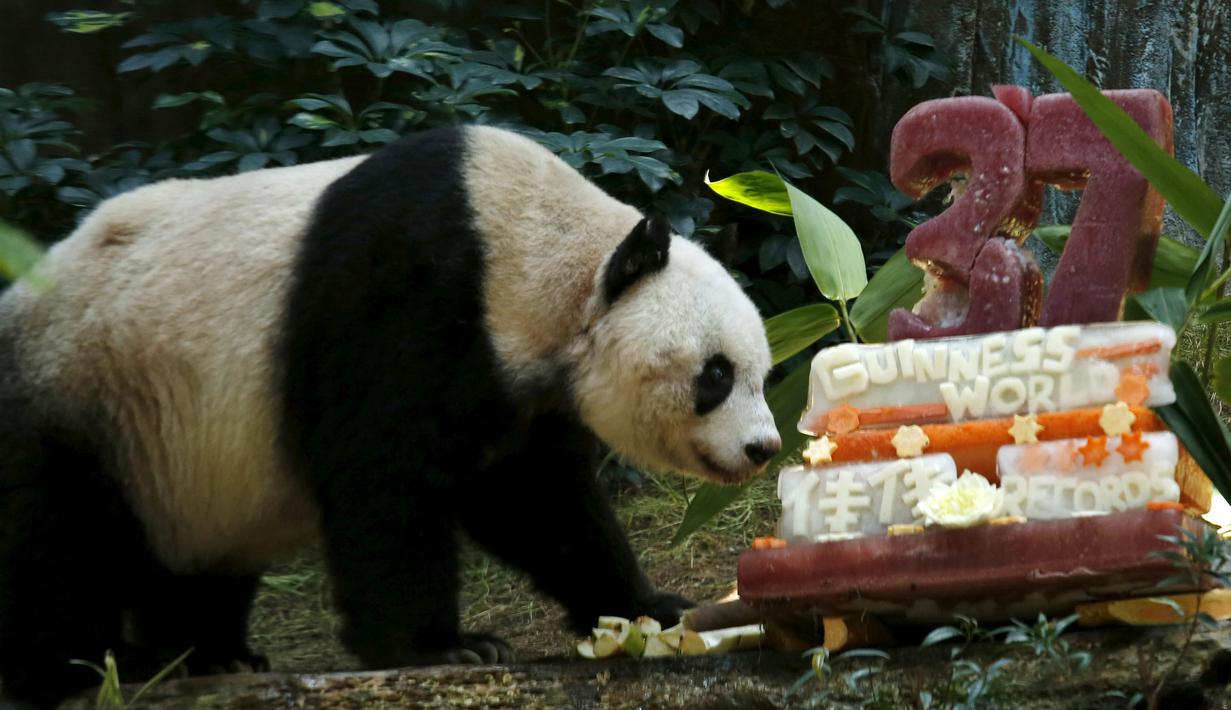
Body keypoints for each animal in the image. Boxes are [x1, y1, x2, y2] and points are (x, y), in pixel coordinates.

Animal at [0, 125, 780, 706]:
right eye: (716, 374)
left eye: (761, 371)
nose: (762, 449)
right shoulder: (404, 293)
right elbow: (383, 477)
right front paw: (443, 647)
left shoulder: (517, 383)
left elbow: (537, 502)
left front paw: (651, 608)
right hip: (89, 389)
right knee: (58, 536)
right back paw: (94, 665)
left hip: (179, 453)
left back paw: (213, 654)